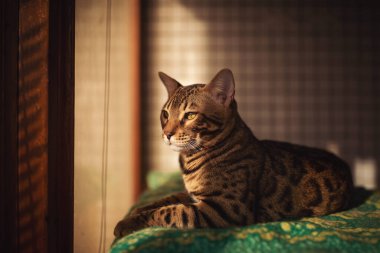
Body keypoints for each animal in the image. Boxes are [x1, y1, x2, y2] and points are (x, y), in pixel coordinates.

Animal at [113, 68, 354, 239]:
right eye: (165, 114)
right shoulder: (193, 195)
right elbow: (164, 200)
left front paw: (127, 223)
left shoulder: (223, 209)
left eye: (190, 115)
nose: (167, 134)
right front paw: (134, 212)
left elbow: (169, 211)